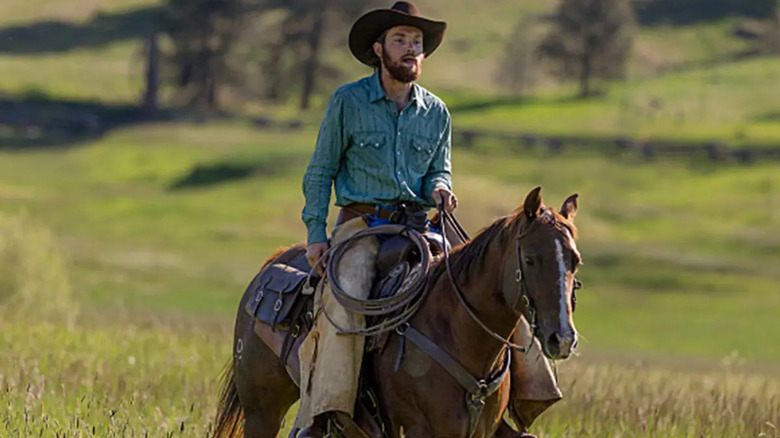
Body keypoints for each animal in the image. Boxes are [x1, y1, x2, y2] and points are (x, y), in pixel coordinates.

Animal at [210, 187, 580, 438]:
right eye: (530, 259)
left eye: (575, 261)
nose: (562, 338)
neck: (457, 331)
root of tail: (273, 262)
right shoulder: (417, 429)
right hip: (262, 411)